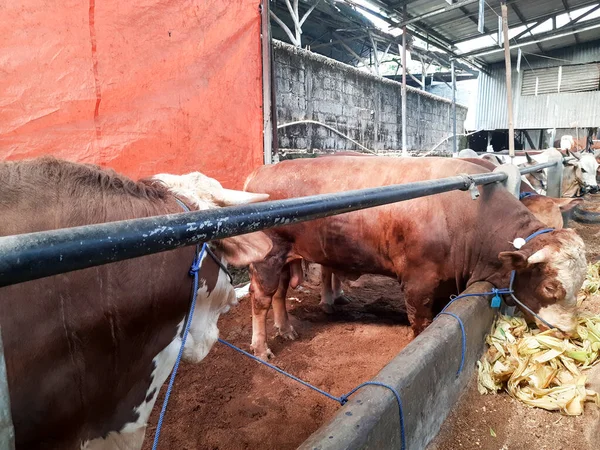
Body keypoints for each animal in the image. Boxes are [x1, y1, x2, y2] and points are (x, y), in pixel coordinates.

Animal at [243, 155, 584, 358]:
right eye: (551, 287)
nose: (567, 332)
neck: (470, 217)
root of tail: (261, 171)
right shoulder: (419, 281)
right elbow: (421, 321)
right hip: (267, 258)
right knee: (261, 298)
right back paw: (261, 347)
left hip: (286, 257)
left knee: (280, 292)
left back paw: (286, 329)